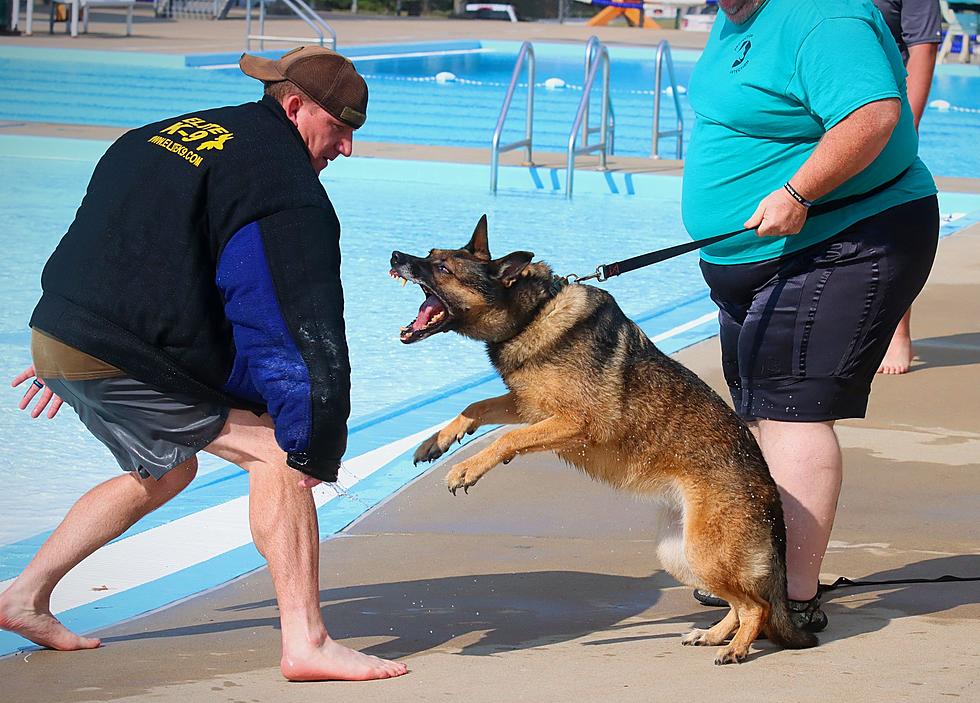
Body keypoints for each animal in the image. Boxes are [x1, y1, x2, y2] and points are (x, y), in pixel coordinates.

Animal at [386, 216, 816, 664]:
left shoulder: (574, 421)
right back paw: (715, 635)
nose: (395, 256)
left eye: (443, 269)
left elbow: (509, 439)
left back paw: (735, 648)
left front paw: (467, 467)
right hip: (682, 554)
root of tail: (769, 492)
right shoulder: (529, 404)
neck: (533, 314)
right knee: (740, 602)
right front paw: (437, 441)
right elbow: (478, 405)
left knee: (757, 606)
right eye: (431, 255)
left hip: (704, 551)